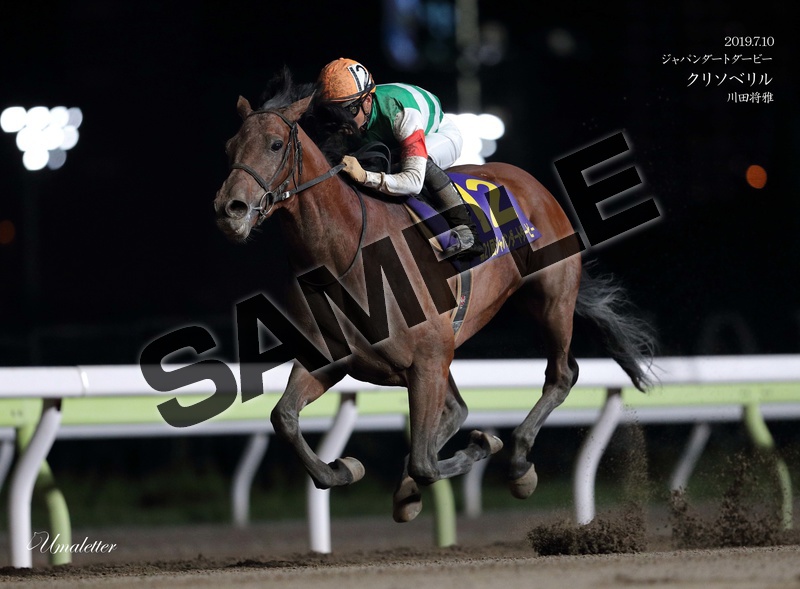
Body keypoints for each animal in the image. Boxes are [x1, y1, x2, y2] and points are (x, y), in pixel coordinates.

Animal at [213, 69, 655, 523]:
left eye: (275, 144)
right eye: (230, 147)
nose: (230, 209)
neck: (347, 254)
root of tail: (532, 184)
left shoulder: (426, 362)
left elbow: (425, 462)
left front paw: (483, 444)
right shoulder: (333, 358)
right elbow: (284, 417)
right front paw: (344, 469)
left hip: (550, 298)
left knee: (561, 375)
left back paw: (517, 464)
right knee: (457, 409)